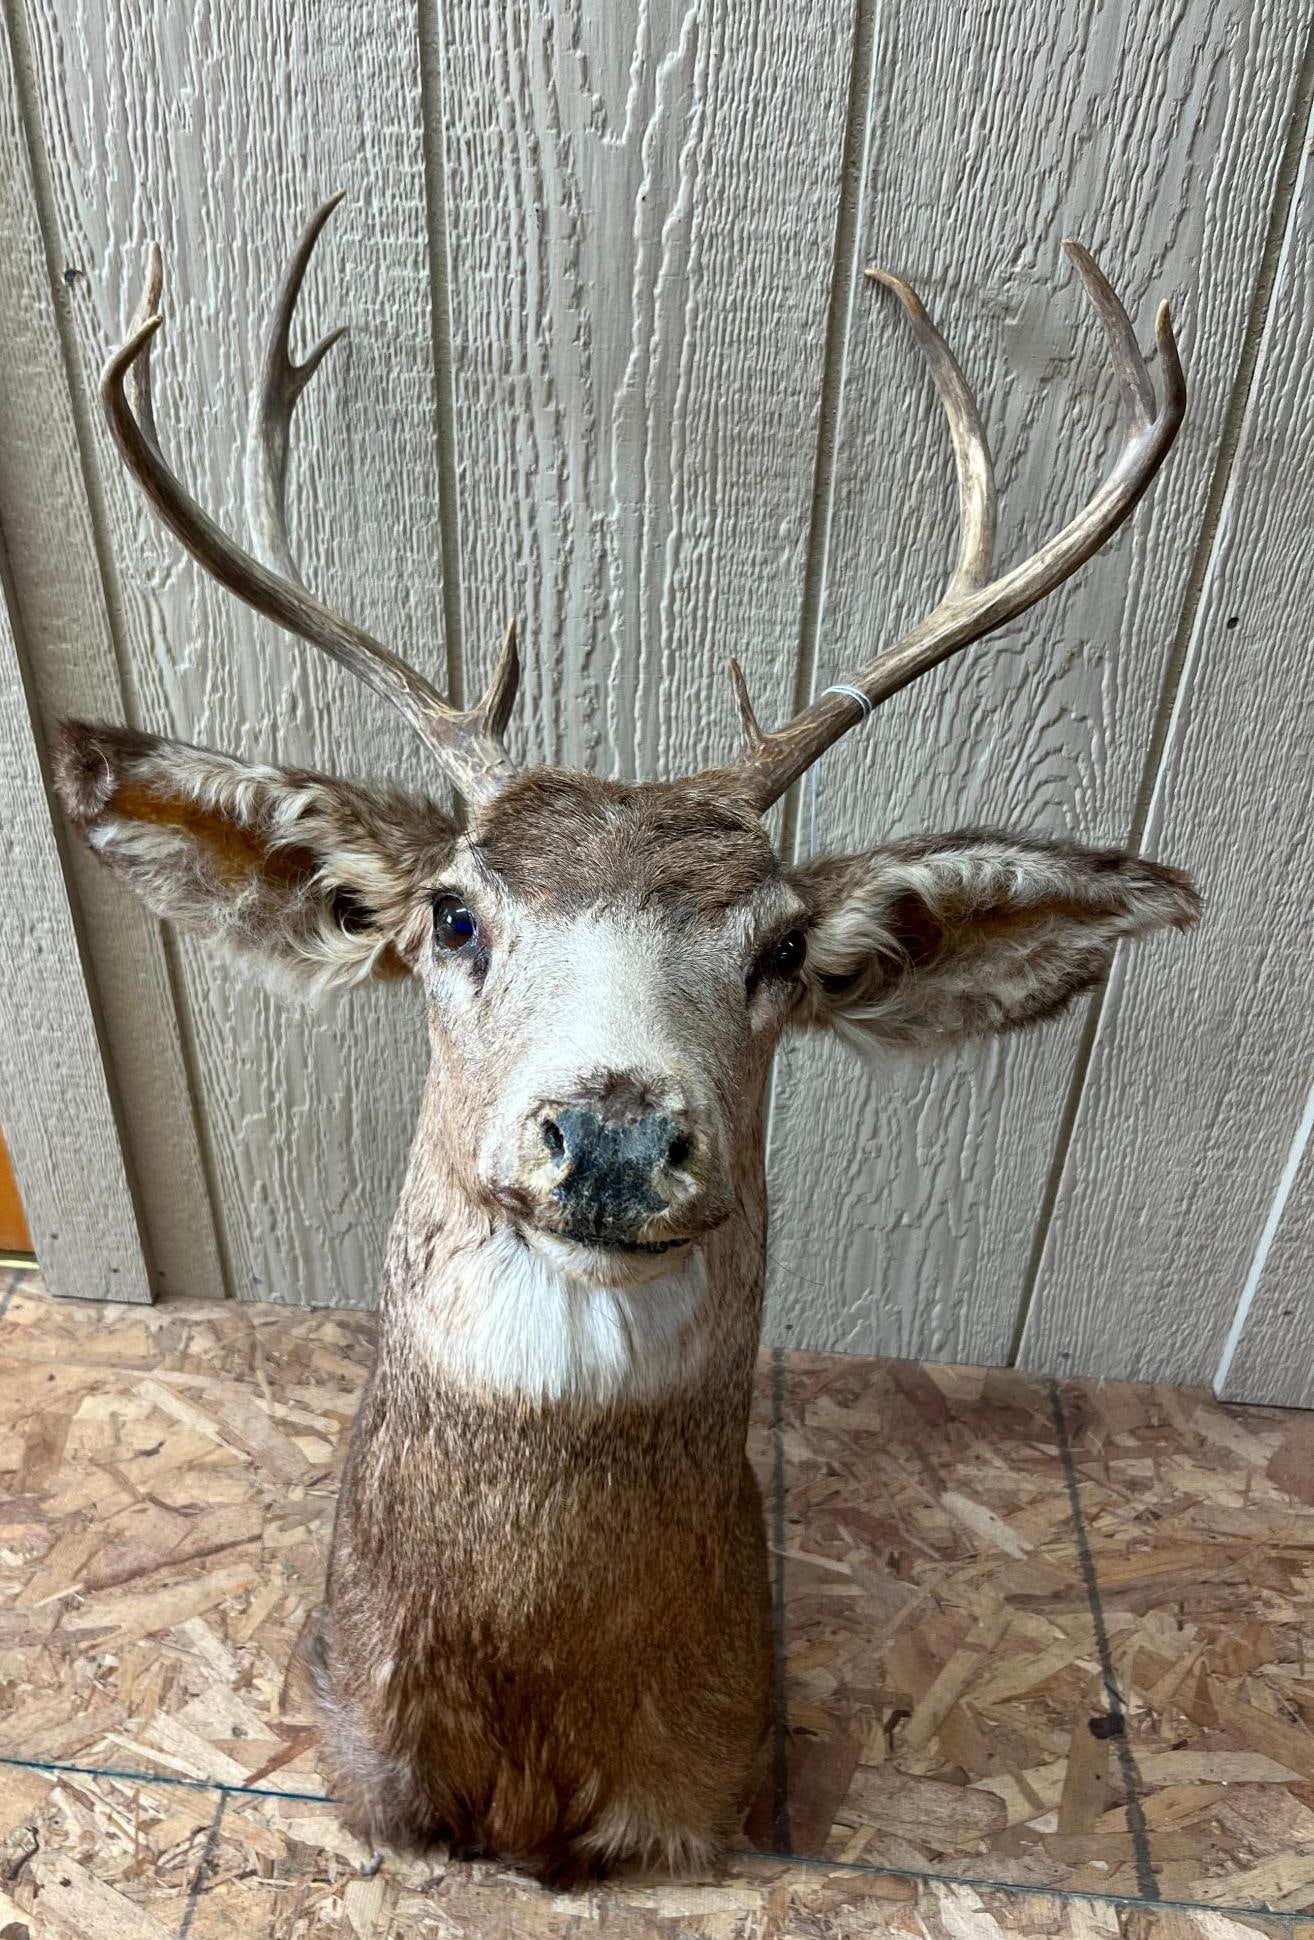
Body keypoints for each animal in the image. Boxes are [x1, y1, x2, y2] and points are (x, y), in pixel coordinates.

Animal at [53, 195, 1195, 1885]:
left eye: (783, 949)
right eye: (453, 914)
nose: (607, 1129)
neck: (538, 1743)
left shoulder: (716, 1790)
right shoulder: (354, 1739)